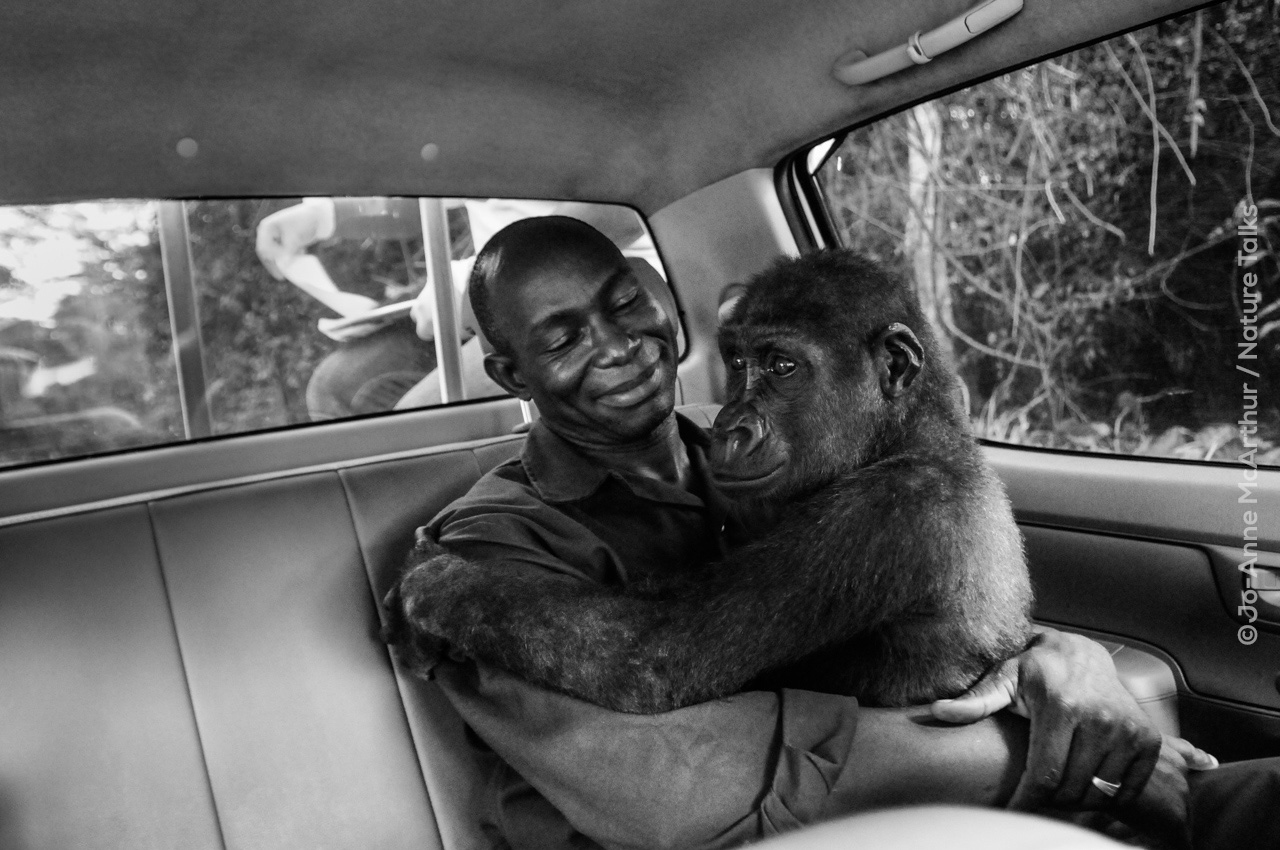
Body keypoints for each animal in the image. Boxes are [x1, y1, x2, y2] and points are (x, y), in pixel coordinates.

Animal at [394, 250, 1034, 711]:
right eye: (737, 362)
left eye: (782, 366)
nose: (729, 424)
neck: (907, 435)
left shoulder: (883, 515)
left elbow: (653, 652)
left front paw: (443, 585)